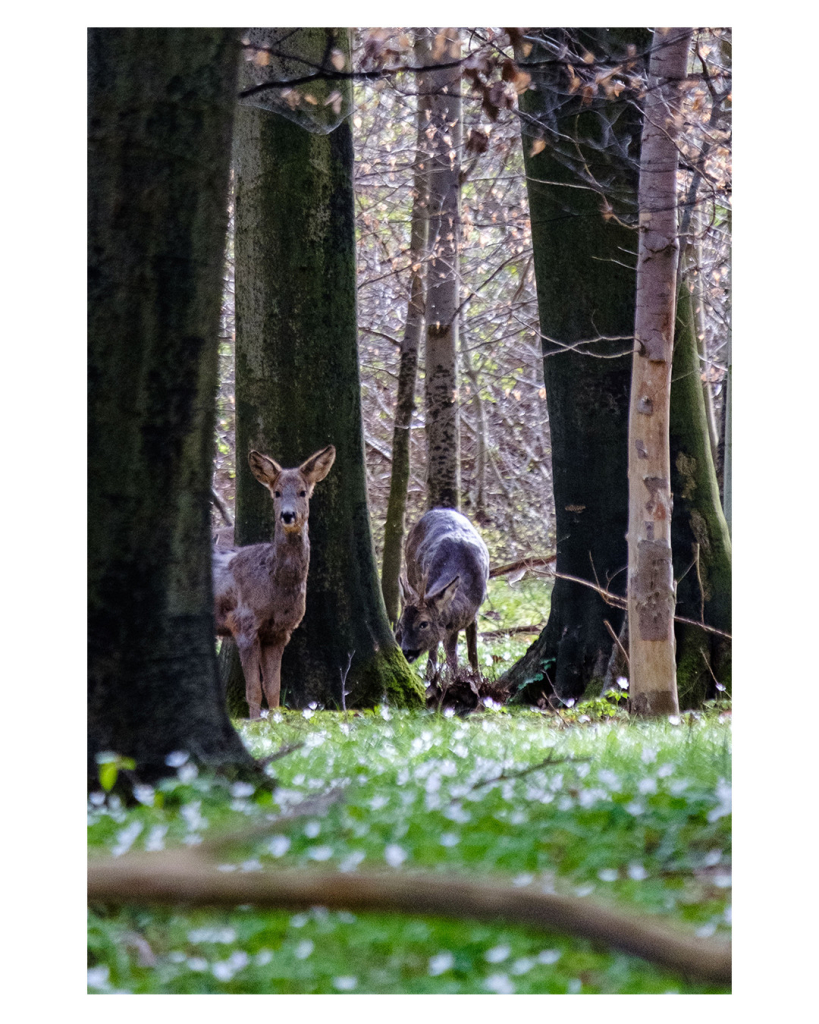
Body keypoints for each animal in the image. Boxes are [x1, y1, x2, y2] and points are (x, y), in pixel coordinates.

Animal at [216, 444, 337, 716]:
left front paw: (275, 719)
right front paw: (256, 722)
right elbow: (253, 690)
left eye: (303, 492)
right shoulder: (243, 623)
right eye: (277, 492)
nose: (288, 515)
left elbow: (273, 688)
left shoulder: (279, 632)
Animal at [395, 509, 487, 684]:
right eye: (402, 623)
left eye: (423, 624)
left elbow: (471, 653)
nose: (406, 651)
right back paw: (429, 675)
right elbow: (451, 656)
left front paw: (477, 679)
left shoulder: (472, 616)